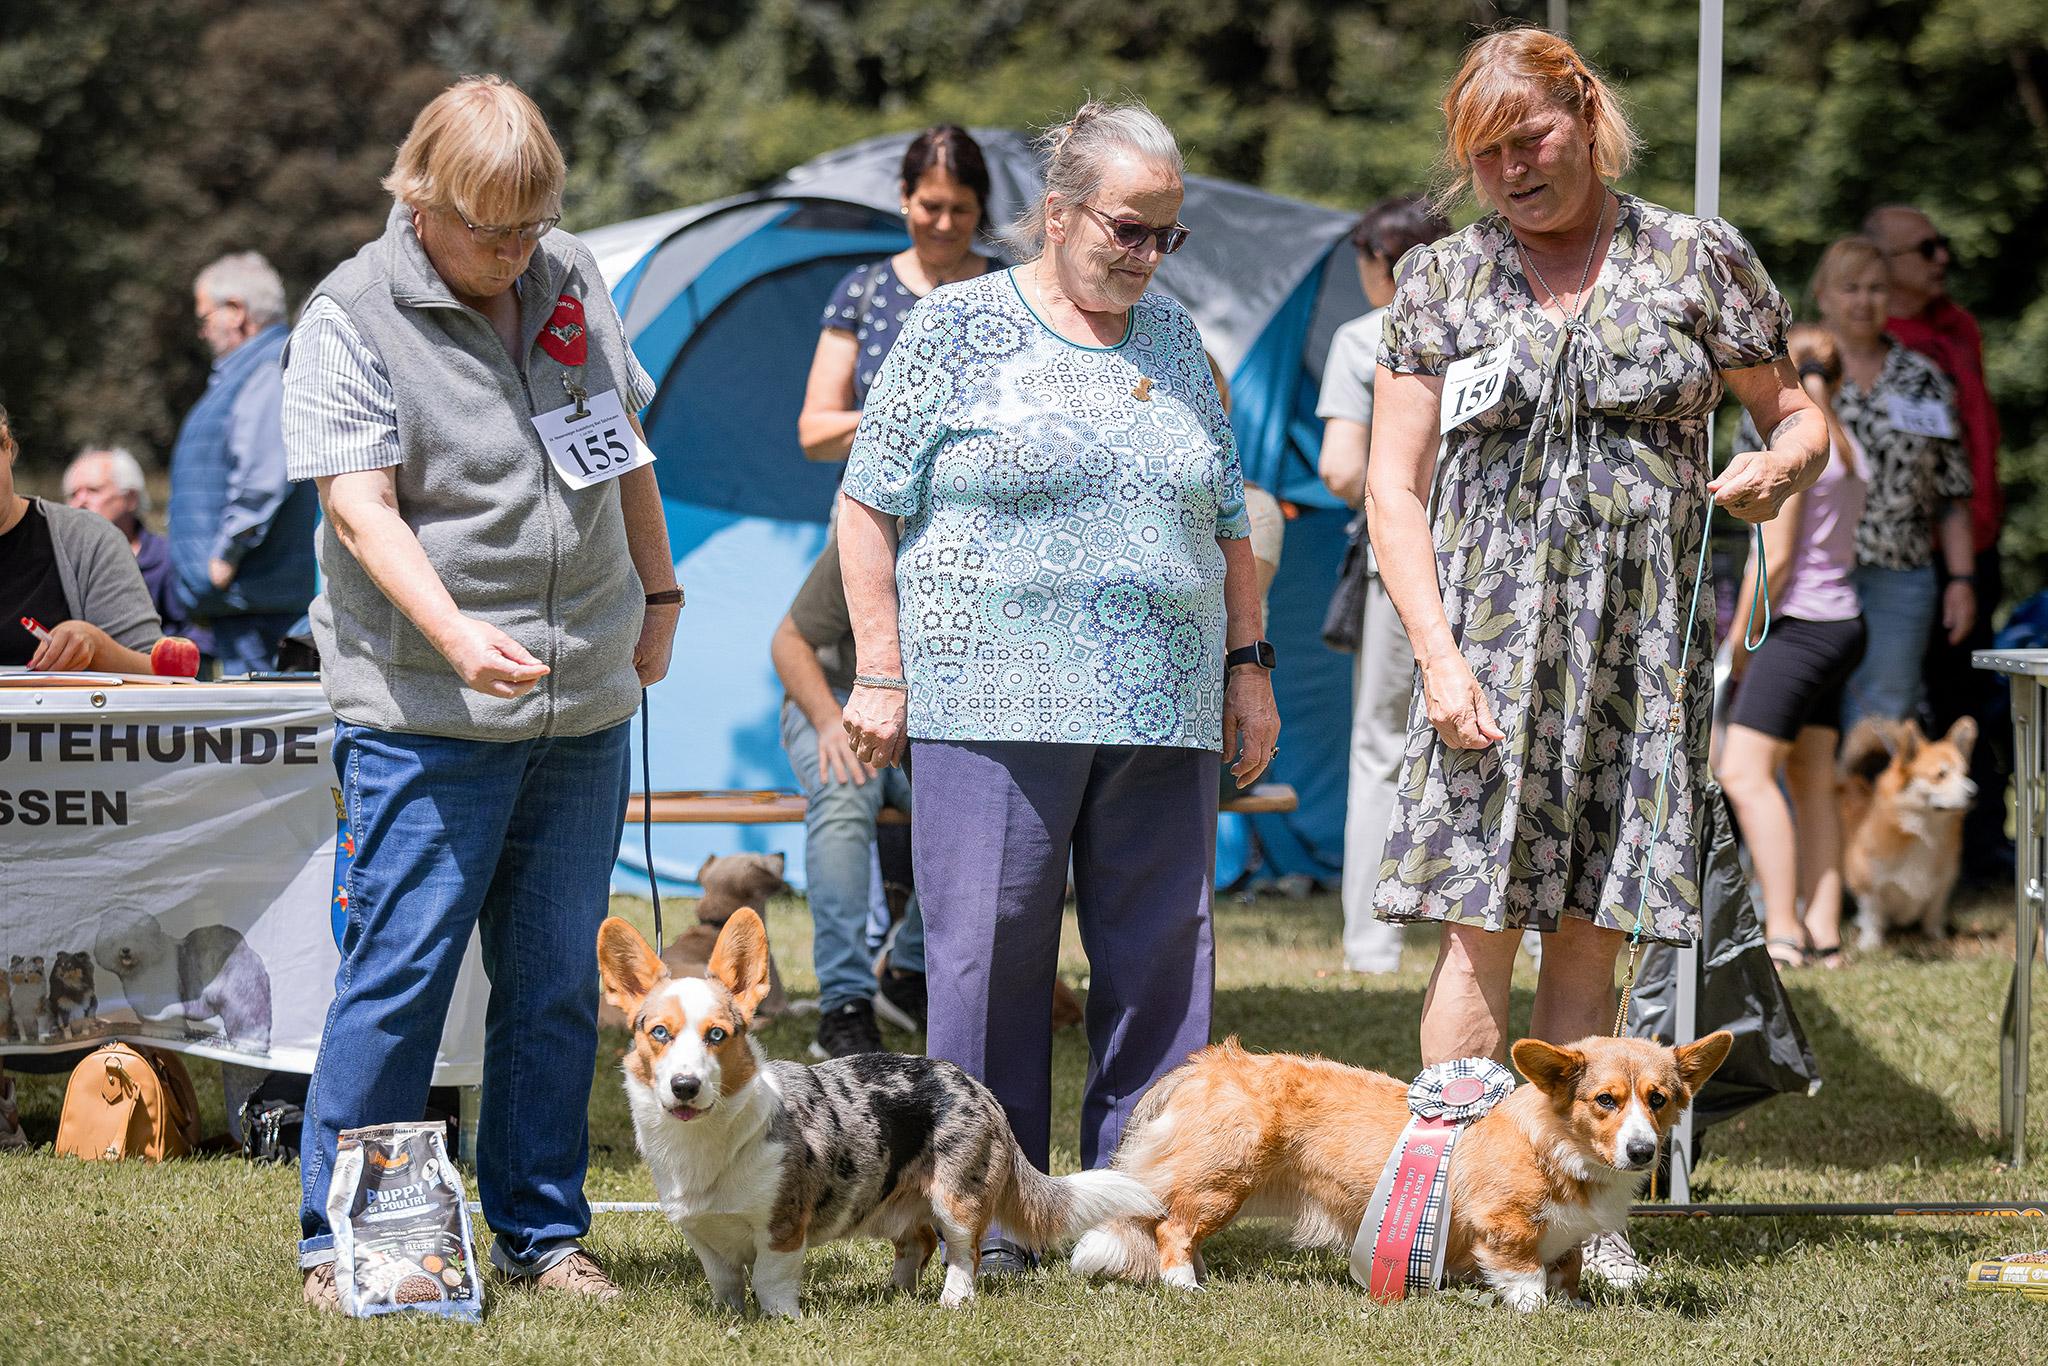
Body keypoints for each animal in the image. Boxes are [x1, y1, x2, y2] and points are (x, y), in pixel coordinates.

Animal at [1843, 716, 1966, 950]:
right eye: (1941, 775)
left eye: (1965, 775)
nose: (1973, 792)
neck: (1923, 832)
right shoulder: (1866, 880)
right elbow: (1872, 913)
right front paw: (1871, 943)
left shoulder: (1944, 881)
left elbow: (1934, 910)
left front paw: (1935, 935)